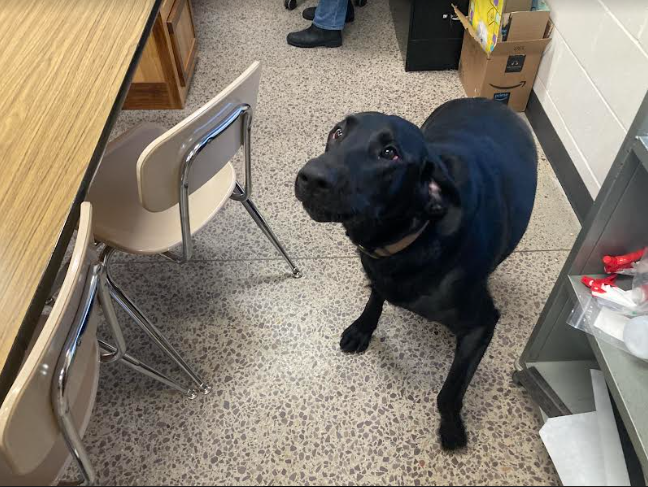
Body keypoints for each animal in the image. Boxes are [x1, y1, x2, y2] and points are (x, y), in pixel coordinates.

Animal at [294, 98, 536, 450]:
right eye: (338, 132)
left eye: (390, 153)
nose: (311, 177)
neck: (410, 238)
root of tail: (491, 101)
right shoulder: (378, 271)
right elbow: (375, 295)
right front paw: (363, 327)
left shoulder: (481, 325)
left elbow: (448, 393)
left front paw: (451, 429)